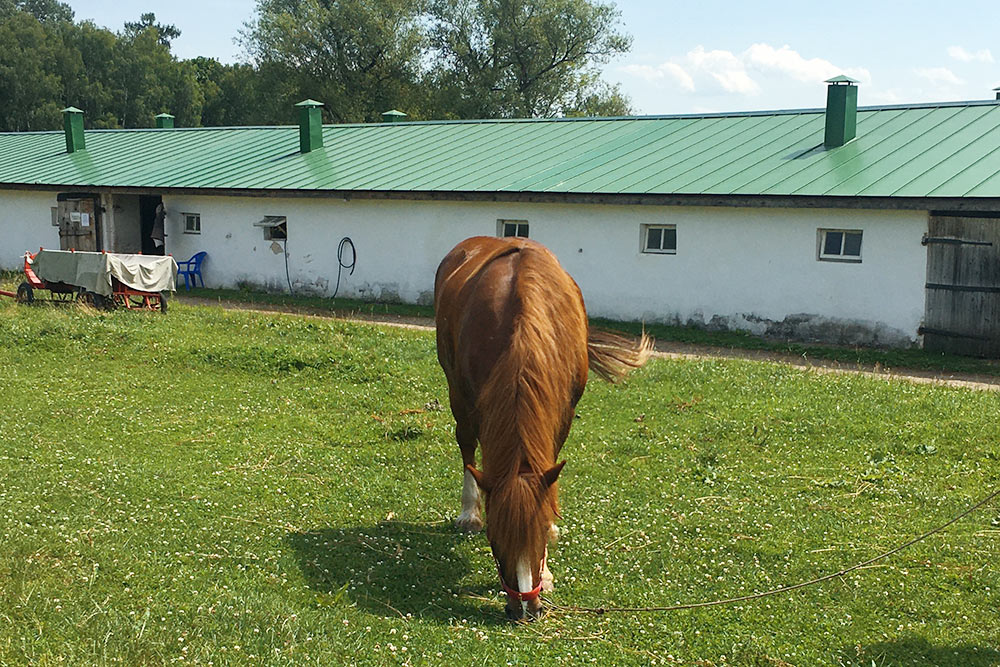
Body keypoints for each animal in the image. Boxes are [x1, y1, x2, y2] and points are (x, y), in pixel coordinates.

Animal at [436, 236, 652, 620]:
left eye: (536, 535)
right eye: (496, 540)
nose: (525, 607)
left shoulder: (564, 412)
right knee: (466, 447)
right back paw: (469, 513)